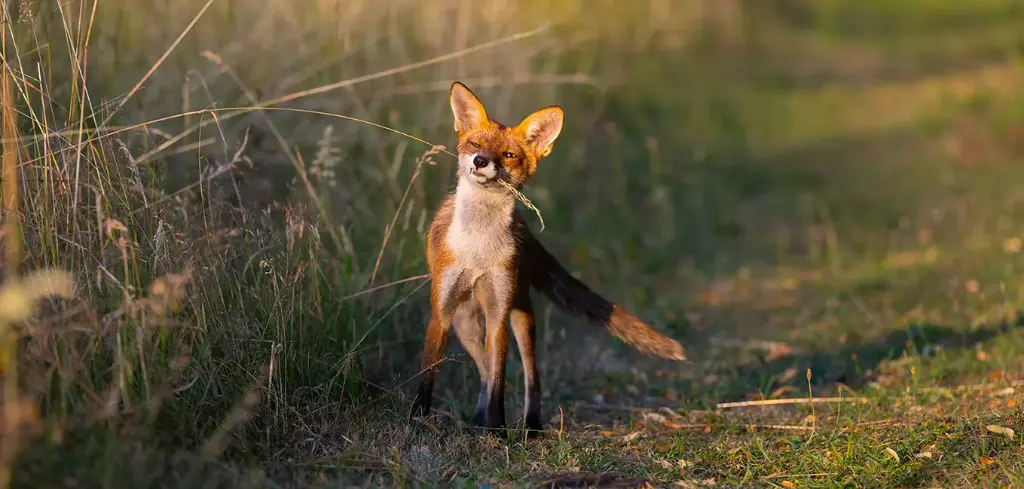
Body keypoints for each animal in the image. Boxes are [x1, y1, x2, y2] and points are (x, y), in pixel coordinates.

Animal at [408, 81, 687, 433]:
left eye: (509, 155)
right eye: (475, 143)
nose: (480, 160)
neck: (478, 249)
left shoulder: (498, 314)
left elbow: (499, 381)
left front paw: (497, 430)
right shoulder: (442, 312)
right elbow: (429, 376)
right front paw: (416, 421)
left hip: (520, 314)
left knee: (529, 374)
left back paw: (530, 425)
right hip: (465, 322)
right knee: (483, 367)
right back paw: (479, 421)